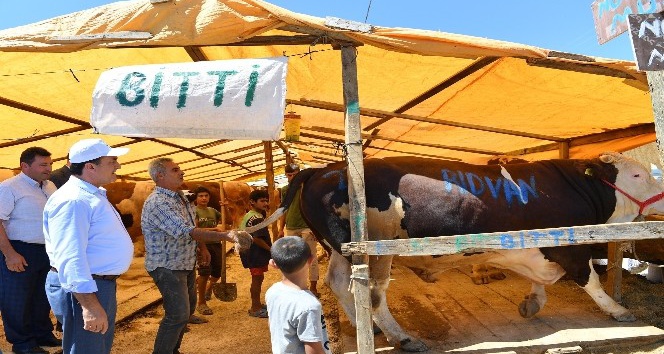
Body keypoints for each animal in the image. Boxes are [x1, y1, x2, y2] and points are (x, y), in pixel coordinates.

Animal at [252, 152, 664, 352]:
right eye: (638, 175)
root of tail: (325, 169)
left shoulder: (535, 249)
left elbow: (540, 280)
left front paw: (532, 301)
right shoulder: (569, 247)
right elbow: (590, 281)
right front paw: (618, 311)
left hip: (340, 250)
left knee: (340, 284)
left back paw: (369, 327)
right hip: (374, 250)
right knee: (370, 293)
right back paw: (402, 337)